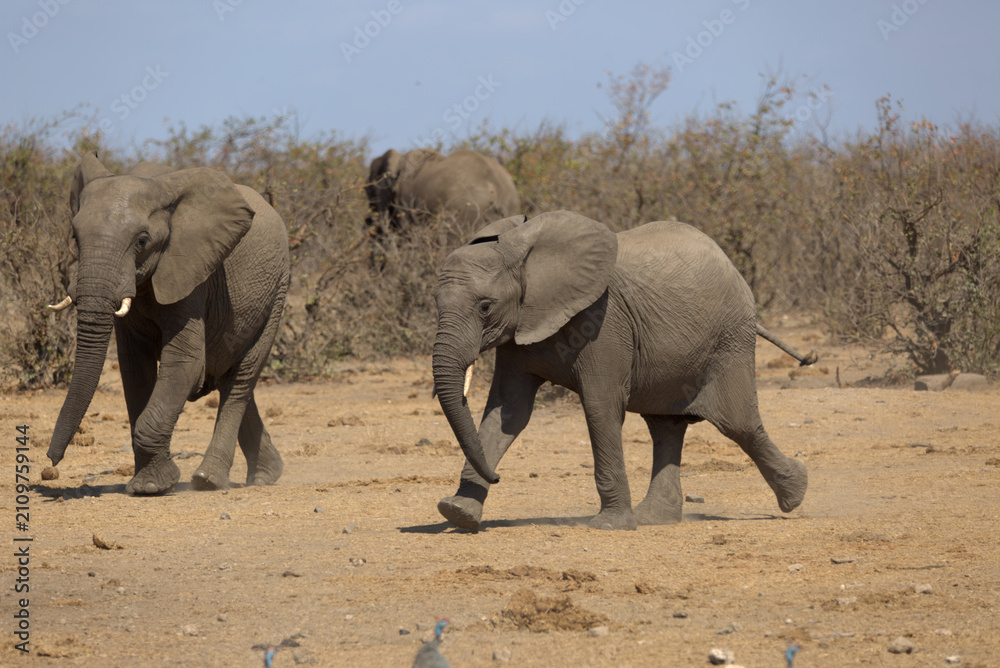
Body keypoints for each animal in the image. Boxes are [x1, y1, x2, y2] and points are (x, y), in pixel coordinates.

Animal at [46, 152, 290, 495]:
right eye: (75, 238)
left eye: (142, 241)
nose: (51, 460)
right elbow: (135, 368)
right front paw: (147, 483)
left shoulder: (192, 271)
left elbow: (186, 362)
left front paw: (152, 486)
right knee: (230, 374)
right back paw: (267, 475)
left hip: (277, 291)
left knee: (241, 379)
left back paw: (209, 480)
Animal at [431, 211, 817, 530]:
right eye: (435, 304)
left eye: (485, 307)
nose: (498, 477)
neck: (523, 249)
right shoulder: (518, 335)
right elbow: (507, 412)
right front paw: (457, 512)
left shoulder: (603, 322)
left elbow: (600, 407)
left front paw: (610, 525)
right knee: (666, 428)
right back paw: (655, 518)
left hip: (730, 340)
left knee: (739, 424)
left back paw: (796, 491)